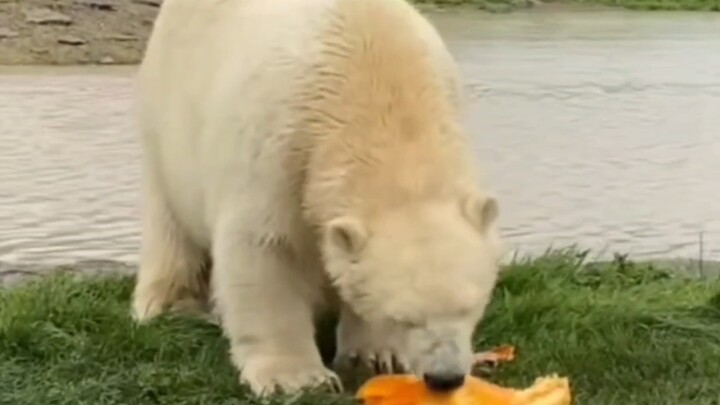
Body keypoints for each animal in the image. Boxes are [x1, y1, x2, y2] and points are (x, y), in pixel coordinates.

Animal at [132, 0, 506, 396]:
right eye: (402, 318)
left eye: (470, 307)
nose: (445, 377)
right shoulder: (277, 149)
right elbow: (265, 250)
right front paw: (293, 378)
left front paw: (375, 356)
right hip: (167, 123)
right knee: (171, 226)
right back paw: (171, 305)